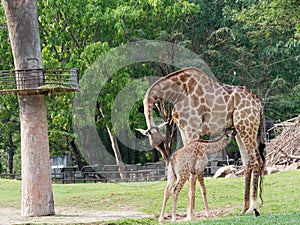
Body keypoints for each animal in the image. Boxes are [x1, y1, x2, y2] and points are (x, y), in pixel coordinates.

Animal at [137, 67, 266, 216]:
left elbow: (191, 171)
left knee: (256, 161)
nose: (165, 157)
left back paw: (253, 207)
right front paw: (189, 212)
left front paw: (190, 213)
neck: (176, 93)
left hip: (247, 126)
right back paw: (244, 208)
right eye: (154, 145)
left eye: (163, 140)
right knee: (247, 162)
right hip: (239, 129)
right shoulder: (183, 130)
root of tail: (258, 104)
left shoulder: (192, 128)